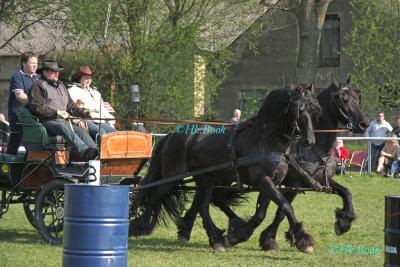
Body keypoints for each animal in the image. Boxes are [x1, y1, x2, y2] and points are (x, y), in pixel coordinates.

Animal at [130, 85, 322, 252]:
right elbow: (286, 206)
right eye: (300, 110)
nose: (310, 141)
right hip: (173, 175)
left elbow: (263, 212)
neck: (265, 140)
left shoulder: (271, 182)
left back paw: (215, 239)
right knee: (154, 196)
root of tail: (172, 134)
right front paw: (303, 240)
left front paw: (242, 235)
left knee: (202, 207)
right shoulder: (263, 181)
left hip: (205, 178)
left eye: (314, 111)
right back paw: (139, 226)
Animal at [178, 78, 368, 253]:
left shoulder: (318, 180)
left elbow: (346, 193)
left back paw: (187, 229)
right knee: (207, 200)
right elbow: (282, 210)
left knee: (205, 200)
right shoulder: (293, 183)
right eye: (343, 99)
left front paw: (344, 221)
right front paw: (267, 238)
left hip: (217, 177)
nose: (363, 124)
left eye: (357, 98)